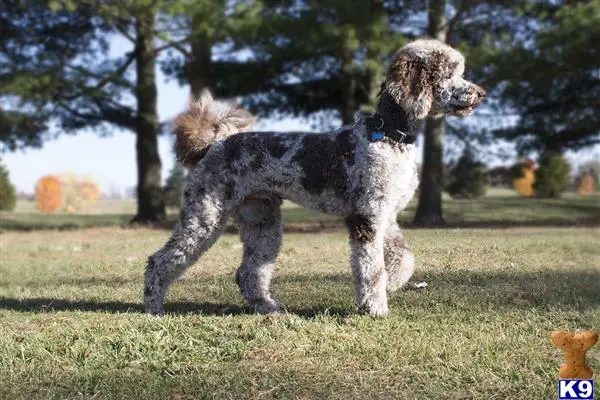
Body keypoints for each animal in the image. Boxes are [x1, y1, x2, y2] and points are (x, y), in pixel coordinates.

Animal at [145, 39, 488, 316]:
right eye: (449, 72)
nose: (482, 94)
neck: (389, 134)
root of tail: (213, 145)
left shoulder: (386, 217)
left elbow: (404, 258)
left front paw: (391, 285)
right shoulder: (366, 218)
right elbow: (371, 268)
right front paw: (375, 307)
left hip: (262, 222)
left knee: (248, 273)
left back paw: (268, 307)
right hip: (205, 217)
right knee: (159, 261)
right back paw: (153, 307)